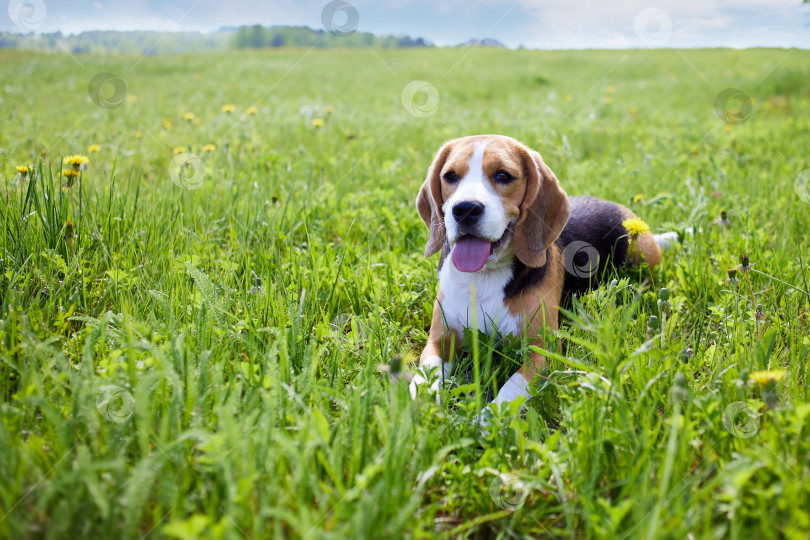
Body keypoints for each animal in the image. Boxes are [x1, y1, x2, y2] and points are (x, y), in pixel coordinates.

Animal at [410, 135, 664, 414]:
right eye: (450, 176)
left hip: (638, 249)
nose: (465, 209)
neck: (485, 275)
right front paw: (418, 408)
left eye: (503, 175)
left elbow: (511, 387)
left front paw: (487, 418)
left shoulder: (544, 349)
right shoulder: (438, 341)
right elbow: (422, 378)